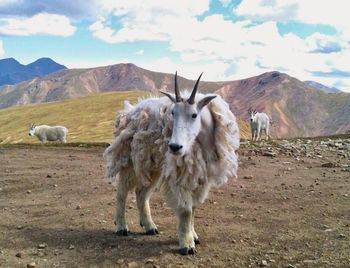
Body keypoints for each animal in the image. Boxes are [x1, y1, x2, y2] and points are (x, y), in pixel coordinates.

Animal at [104, 71, 241, 255]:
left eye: (194, 114)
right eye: (173, 113)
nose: (175, 147)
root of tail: (129, 111)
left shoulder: (200, 177)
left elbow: (194, 207)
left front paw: (193, 236)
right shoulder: (179, 175)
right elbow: (186, 209)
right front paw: (187, 245)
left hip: (153, 166)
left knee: (141, 193)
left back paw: (149, 226)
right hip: (131, 161)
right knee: (122, 192)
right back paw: (121, 226)